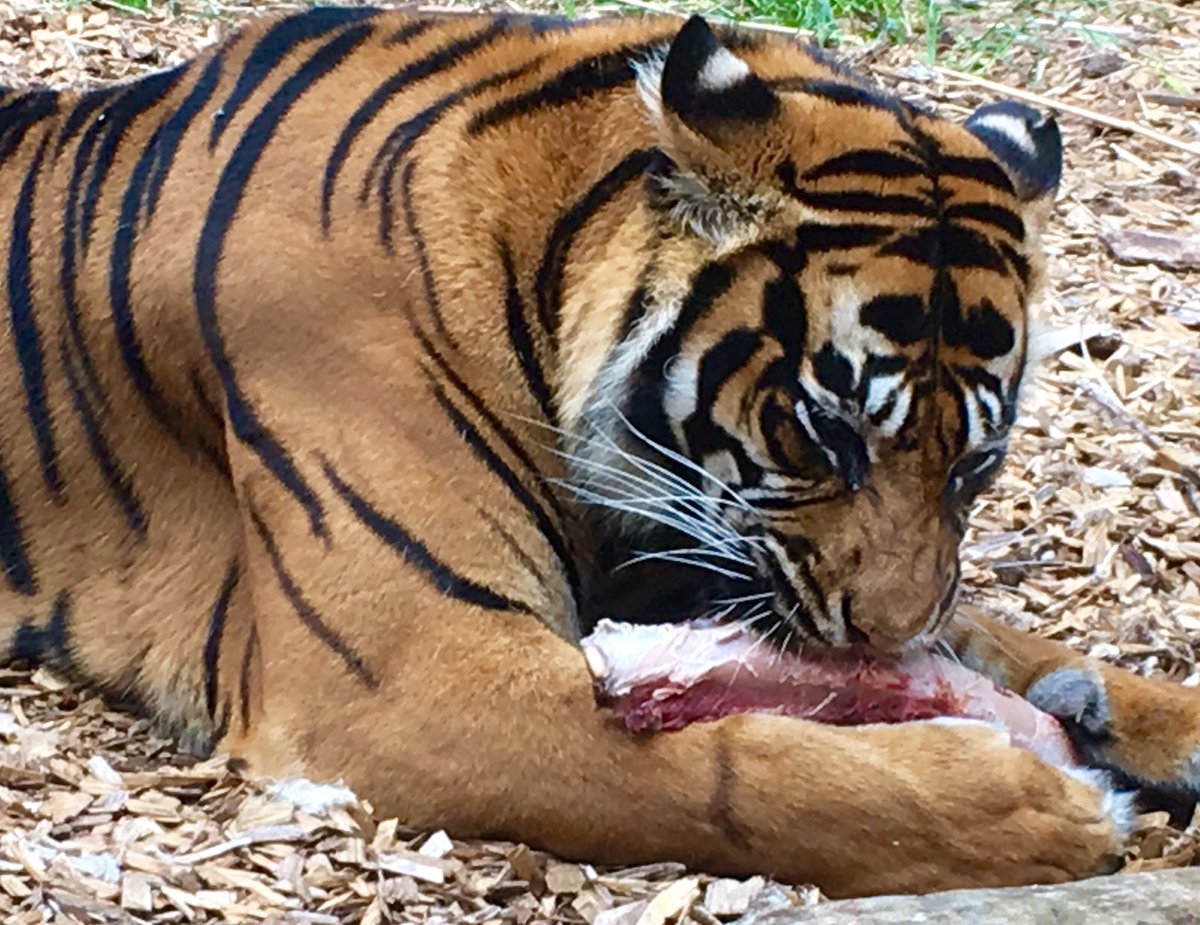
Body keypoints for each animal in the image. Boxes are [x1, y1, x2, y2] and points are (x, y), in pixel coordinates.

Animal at [3, 4, 1200, 898]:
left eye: (977, 464)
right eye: (826, 431)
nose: (884, 640)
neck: (534, 252)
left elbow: (996, 635)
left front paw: (1137, 714)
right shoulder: (414, 674)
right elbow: (738, 770)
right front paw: (1041, 804)